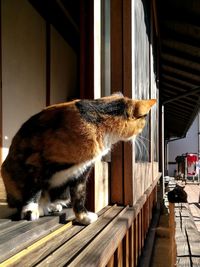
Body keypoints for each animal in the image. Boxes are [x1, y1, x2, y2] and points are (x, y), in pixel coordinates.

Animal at [0, 93, 156, 225]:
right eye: (143, 122)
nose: (141, 132)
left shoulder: (82, 170)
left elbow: (79, 195)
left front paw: (83, 217)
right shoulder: (37, 160)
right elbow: (34, 187)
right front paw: (30, 210)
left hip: (63, 192)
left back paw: (53, 206)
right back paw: (39, 207)